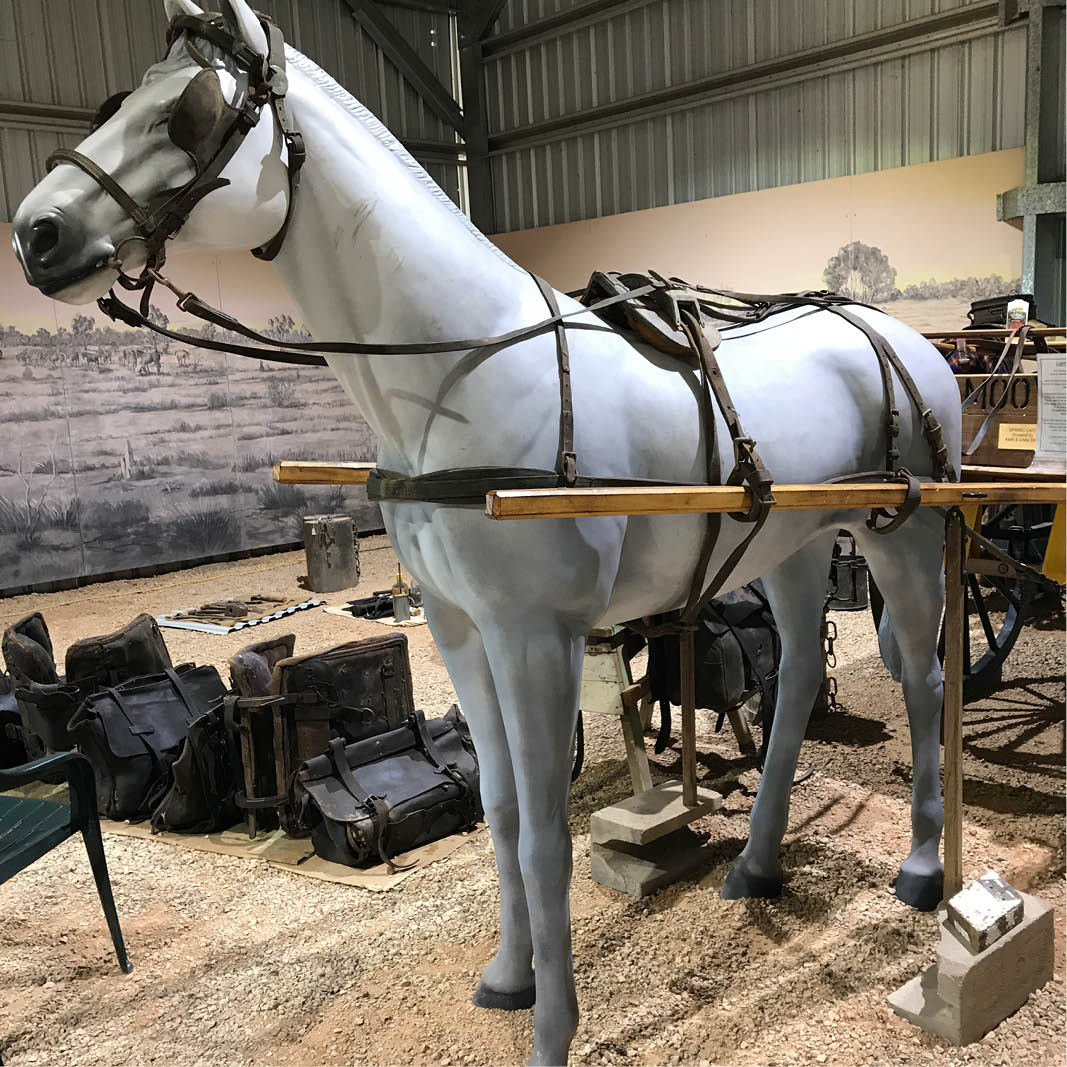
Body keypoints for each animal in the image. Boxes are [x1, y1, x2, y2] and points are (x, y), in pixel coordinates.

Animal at [11, 2, 961, 1062]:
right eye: (116, 99)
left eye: (194, 112)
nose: (37, 232)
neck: (458, 370)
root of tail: (911, 341)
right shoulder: (460, 629)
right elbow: (502, 812)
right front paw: (509, 978)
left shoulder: (535, 636)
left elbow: (547, 831)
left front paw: (553, 1027)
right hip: (790, 549)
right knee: (794, 679)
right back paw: (755, 863)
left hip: (902, 540)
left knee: (923, 683)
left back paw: (923, 870)